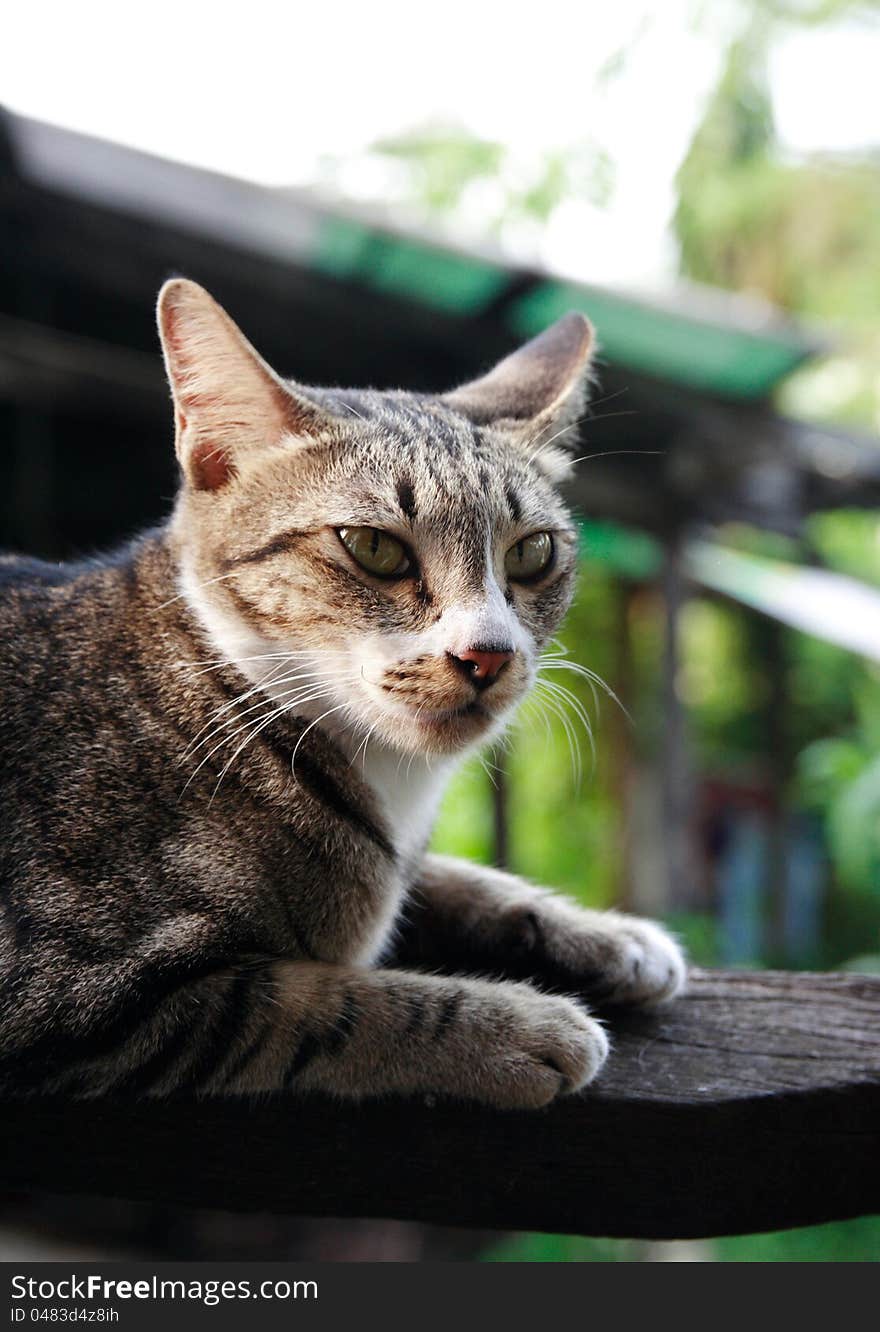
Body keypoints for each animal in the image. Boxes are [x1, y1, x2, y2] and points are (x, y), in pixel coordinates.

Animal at [0, 278, 686, 1102]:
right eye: (374, 547)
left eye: (533, 553)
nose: (487, 655)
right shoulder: (69, 992)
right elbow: (315, 1005)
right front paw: (519, 1024)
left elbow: (446, 878)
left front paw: (605, 935)